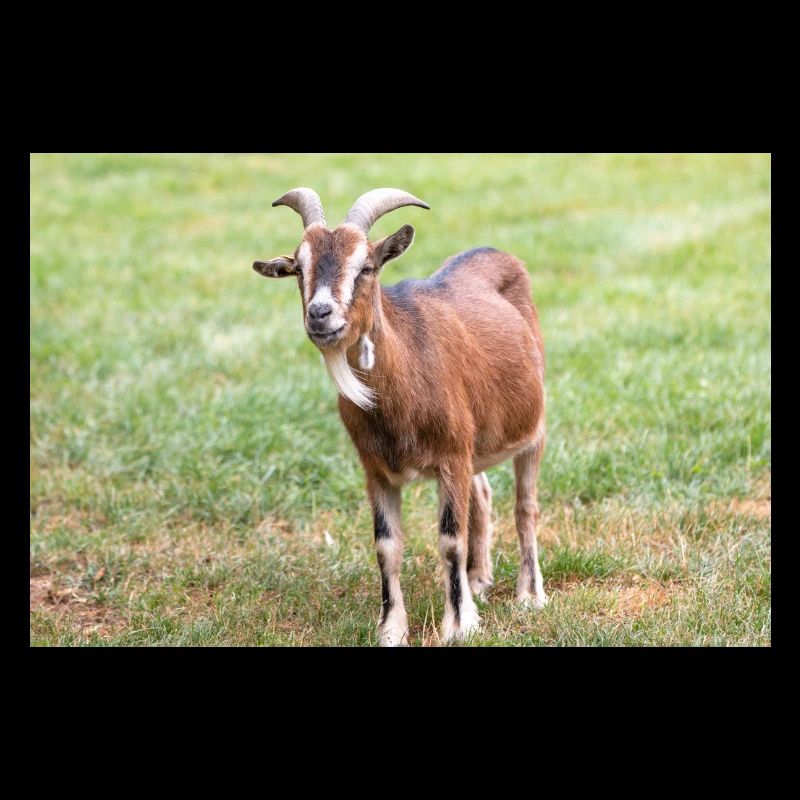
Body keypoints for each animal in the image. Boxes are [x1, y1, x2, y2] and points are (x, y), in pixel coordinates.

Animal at [253, 187, 547, 646]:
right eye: (298, 267)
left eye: (366, 267)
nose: (319, 314)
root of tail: (496, 253)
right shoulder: (376, 470)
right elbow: (386, 546)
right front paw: (391, 629)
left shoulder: (451, 457)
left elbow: (450, 539)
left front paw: (459, 624)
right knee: (482, 494)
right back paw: (479, 579)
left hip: (533, 426)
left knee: (525, 507)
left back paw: (529, 595)